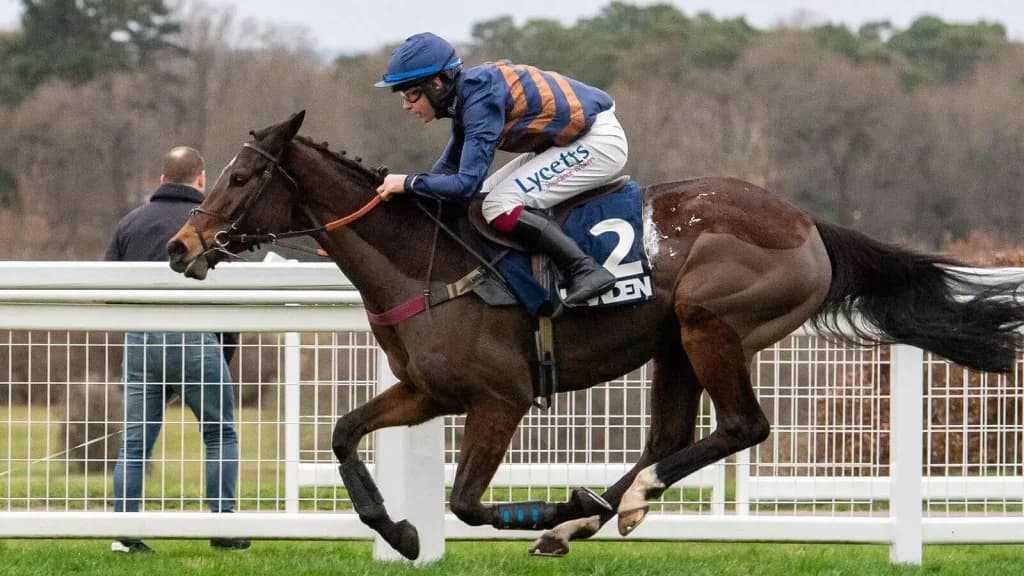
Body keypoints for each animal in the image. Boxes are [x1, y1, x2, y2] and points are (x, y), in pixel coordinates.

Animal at [168, 111, 1024, 560]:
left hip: (710, 323)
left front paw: (547, 509)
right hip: (675, 345)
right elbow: (346, 433)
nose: (180, 247)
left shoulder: (501, 398)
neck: (427, 263)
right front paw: (400, 532)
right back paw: (596, 513)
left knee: (740, 426)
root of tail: (808, 223)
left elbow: (468, 502)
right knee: (670, 437)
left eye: (240, 178)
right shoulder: (426, 391)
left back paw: (603, 508)